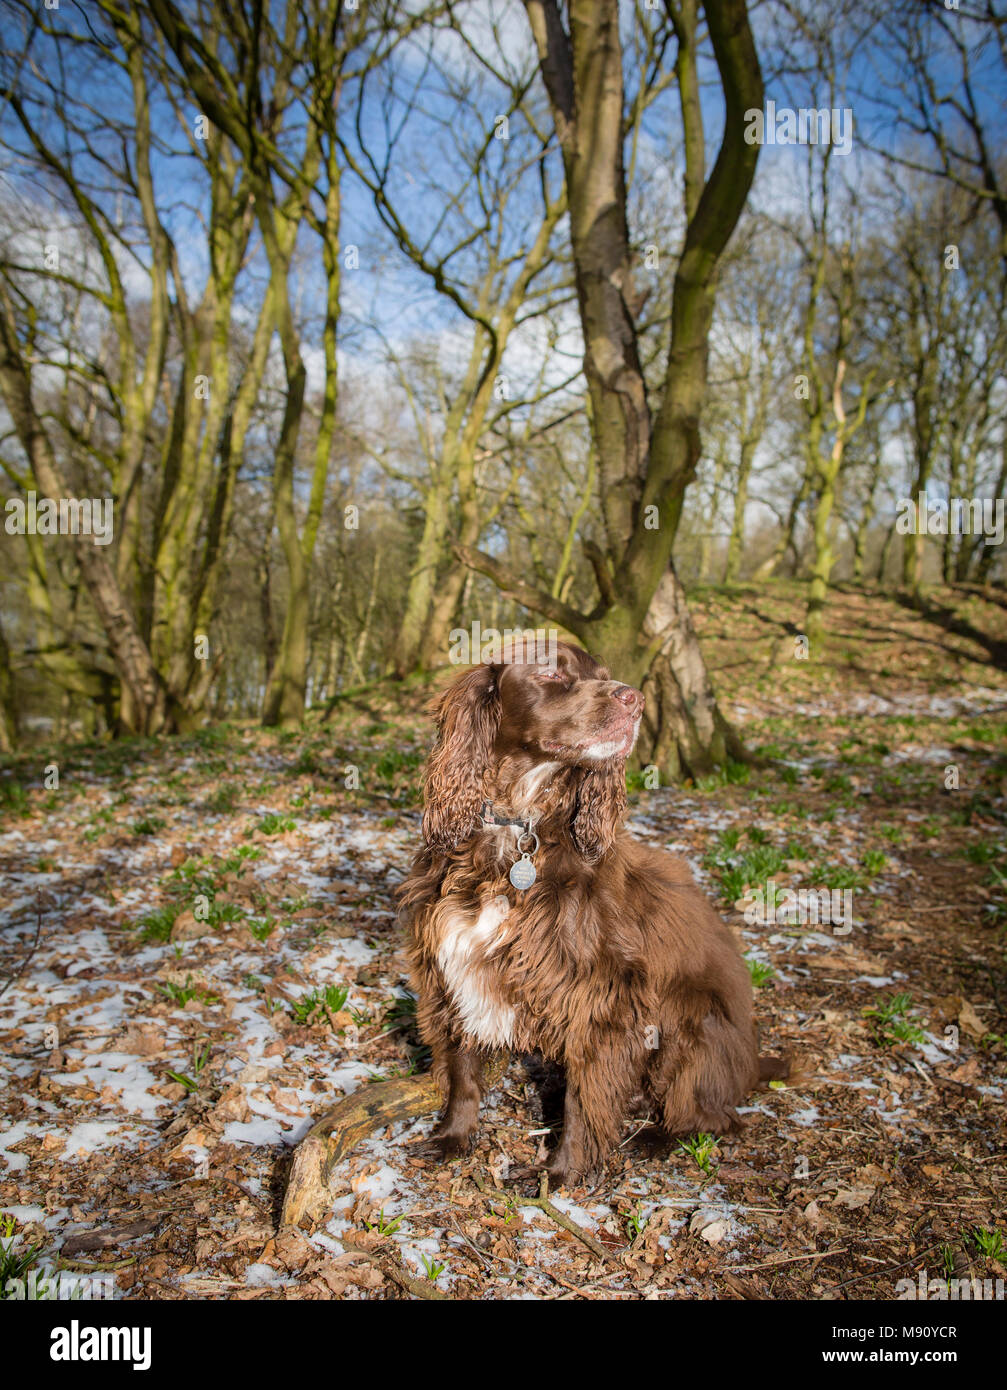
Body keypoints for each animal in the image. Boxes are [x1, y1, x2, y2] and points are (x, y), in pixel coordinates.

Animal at [397, 639, 784, 1184]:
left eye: (604, 675)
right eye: (551, 673)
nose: (635, 700)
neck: (518, 829)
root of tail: (752, 1064)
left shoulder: (601, 995)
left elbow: (585, 1097)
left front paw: (561, 1173)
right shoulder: (454, 964)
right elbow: (462, 1070)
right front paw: (453, 1137)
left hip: (692, 1020)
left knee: (716, 1117)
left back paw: (658, 1136)